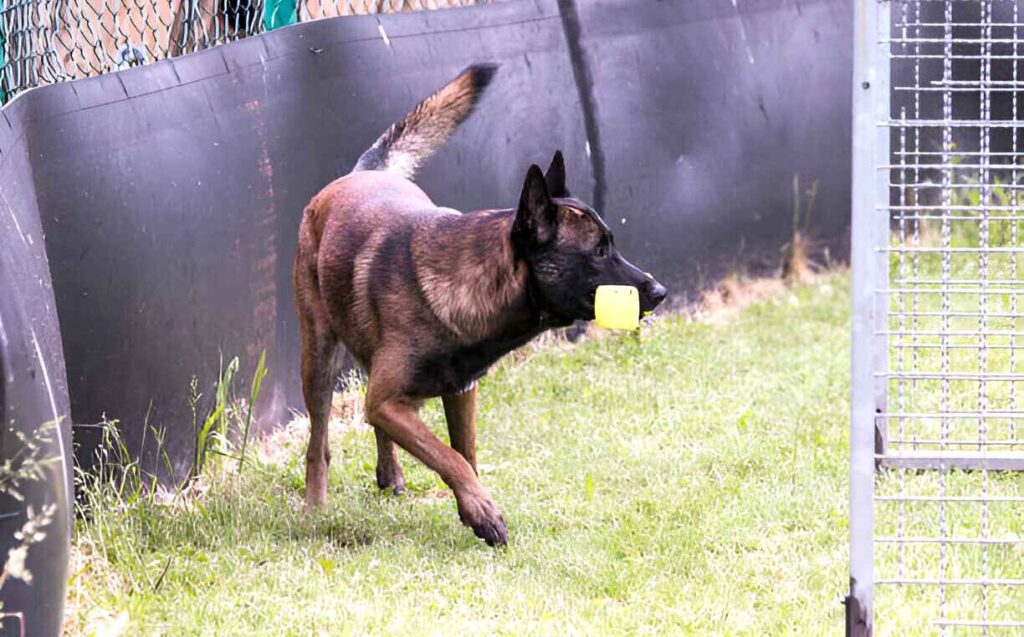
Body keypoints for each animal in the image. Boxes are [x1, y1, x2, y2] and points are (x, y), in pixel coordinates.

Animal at [292, 65, 667, 544]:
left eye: (611, 244)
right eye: (599, 251)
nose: (659, 291)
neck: (473, 280)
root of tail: (355, 175)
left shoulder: (458, 391)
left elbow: (463, 455)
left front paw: (471, 509)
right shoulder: (387, 401)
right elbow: (447, 456)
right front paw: (482, 511)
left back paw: (389, 473)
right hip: (318, 358)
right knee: (318, 443)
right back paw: (314, 508)